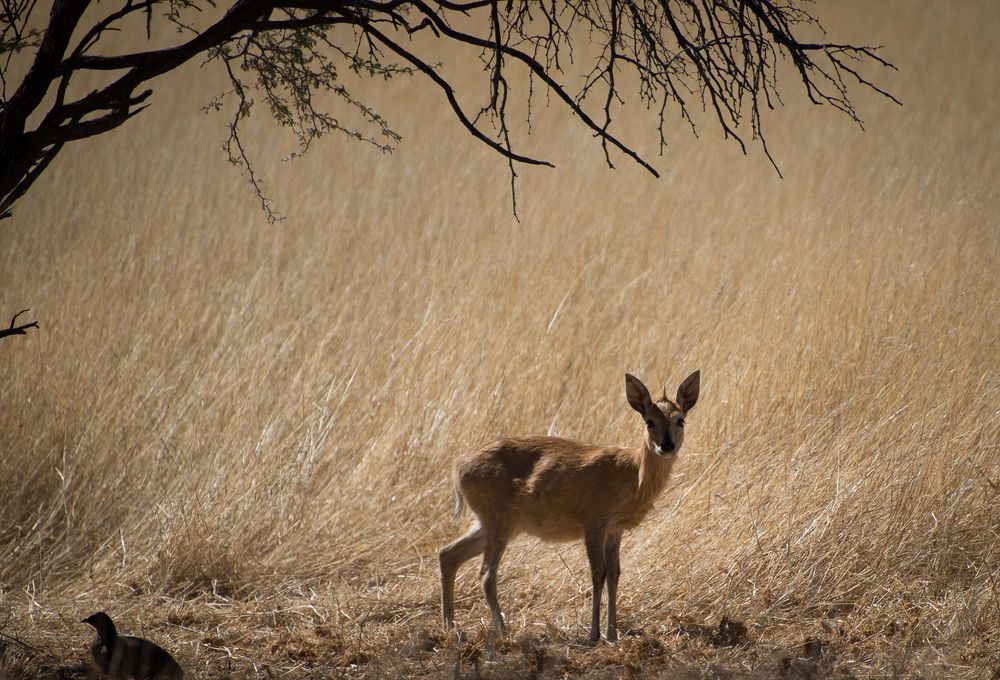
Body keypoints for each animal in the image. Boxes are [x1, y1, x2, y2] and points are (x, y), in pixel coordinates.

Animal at [438, 372, 704, 644]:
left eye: (680, 419)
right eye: (649, 421)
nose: (666, 446)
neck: (632, 474)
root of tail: (457, 468)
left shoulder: (614, 529)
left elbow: (614, 574)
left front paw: (612, 633)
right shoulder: (593, 521)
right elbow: (597, 573)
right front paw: (594, 634)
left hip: (495, 522)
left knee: (448, 554)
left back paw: (452, 627)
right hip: (498, 520)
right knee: (485, 574)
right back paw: (502, 630)